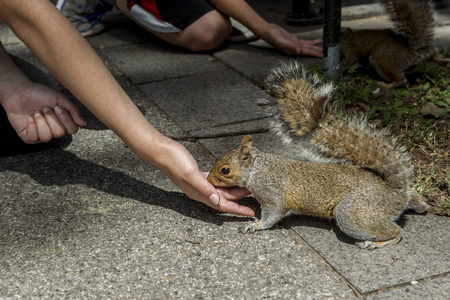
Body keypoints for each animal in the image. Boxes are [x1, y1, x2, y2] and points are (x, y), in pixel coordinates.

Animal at [206, 61, 428, 248]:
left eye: (225, 170)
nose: (208, 180)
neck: (257, 168)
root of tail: (395, 192)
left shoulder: (273, 194)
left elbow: (273, 214)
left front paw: (255, 225)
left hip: (353, 212)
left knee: (396, 231)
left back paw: (374, 242)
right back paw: (419, 204)